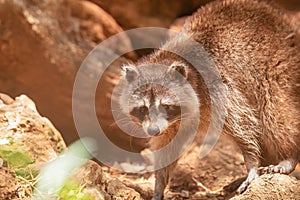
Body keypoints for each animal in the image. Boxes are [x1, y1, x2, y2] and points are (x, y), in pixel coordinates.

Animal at [118, 0, 298, 200]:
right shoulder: (169, 125)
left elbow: (244, 126)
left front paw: (252, 163)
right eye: (142, 109)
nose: (152, 130)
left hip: (281, 65)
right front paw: (159, 184)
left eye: (165, 106)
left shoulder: (218, 86)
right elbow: (167, 147)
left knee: (275, 111)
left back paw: (289, 155)